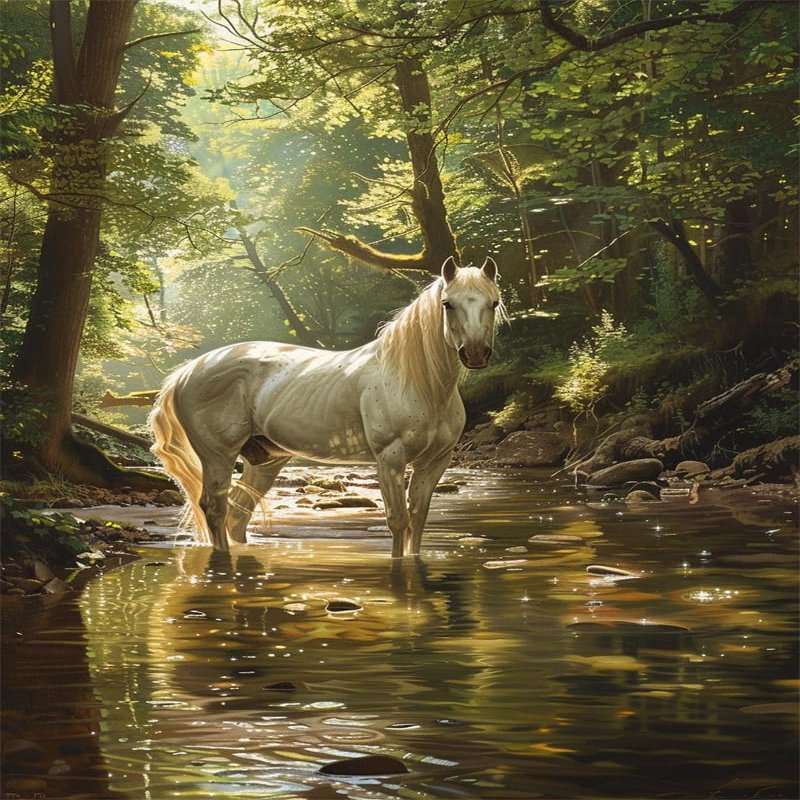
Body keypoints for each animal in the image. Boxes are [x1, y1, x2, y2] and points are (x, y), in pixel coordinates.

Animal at [149, 256, 503, 557]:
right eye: (447, 304)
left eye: (494, 302)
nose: (475, 354)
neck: (417, 382)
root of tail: (187, 371)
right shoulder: (390, 458)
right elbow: (398, 521)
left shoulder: (435, 462)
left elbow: (417, 520)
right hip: (218, 456)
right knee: (215, 507)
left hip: (265, 461)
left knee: (237, 512)